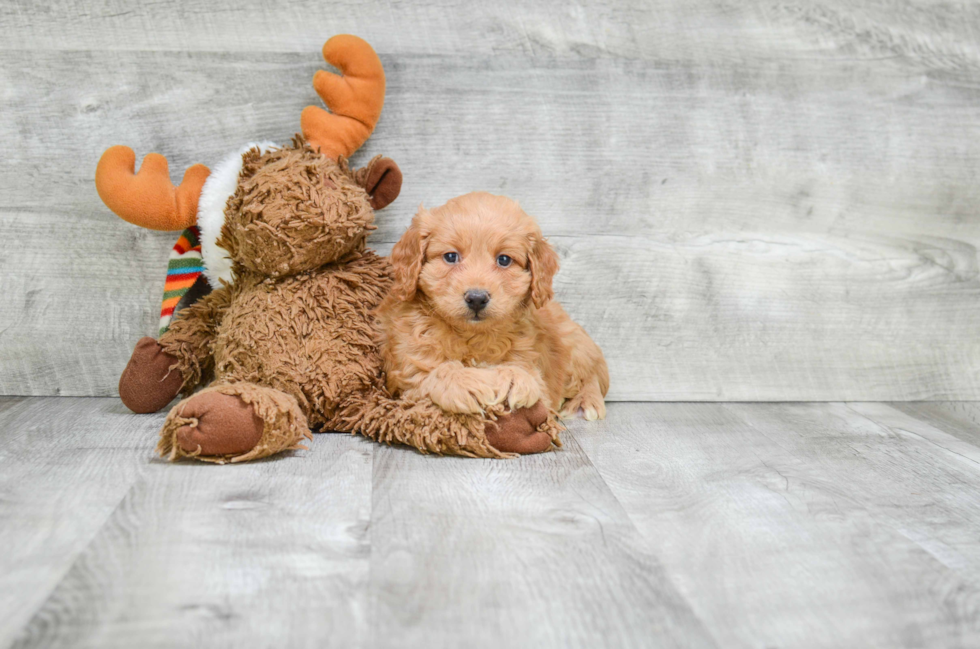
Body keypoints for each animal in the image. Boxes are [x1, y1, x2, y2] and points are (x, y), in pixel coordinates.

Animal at [378, 192, 608, 426]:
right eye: (451, 256)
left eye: (504, 259)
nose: (477, 298)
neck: (472, 336)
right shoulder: (405, 372)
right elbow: (430, 374)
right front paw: (467, 382)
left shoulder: (538, 375)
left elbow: (529, 377)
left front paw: (514, 377)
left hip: (574, 344)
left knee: (592, 376)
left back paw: (586, 401)